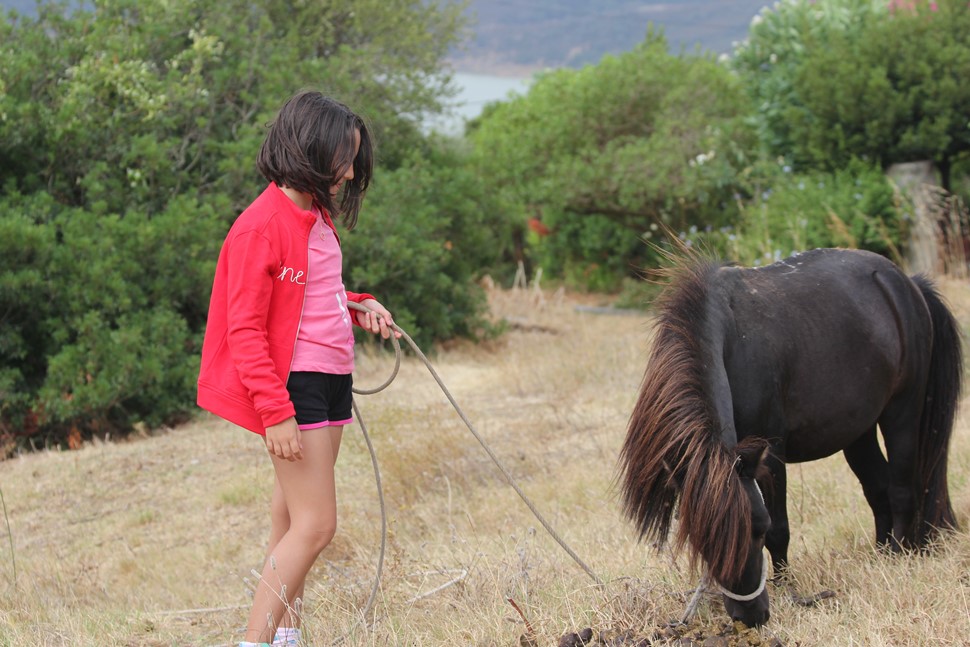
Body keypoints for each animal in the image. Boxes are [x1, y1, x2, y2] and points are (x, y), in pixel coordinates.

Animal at [620, 248, 960, 628]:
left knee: (902, 490)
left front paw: (786, 587)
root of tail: (906, 283)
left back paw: (899, 556)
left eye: (757, 528)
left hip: (902, 413)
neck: (732, 338)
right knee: (879, 488)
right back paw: (882, 554)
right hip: (859, 433)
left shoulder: (772, 453)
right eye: (703, 541)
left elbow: (780, 529)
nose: (750, 616)